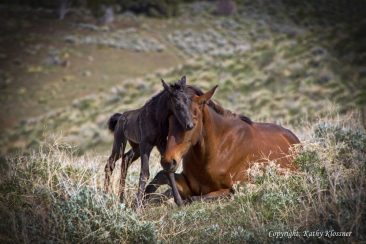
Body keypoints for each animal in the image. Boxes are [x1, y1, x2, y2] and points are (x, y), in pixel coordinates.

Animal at [103, 76, 193, 208]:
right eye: (177, 104)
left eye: (188, 100)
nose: (190, 125)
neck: (155, 118)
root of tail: (120, 117)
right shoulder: (146, 145)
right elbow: (144, 173)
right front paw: (137, 206)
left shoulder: (161, 143)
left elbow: (168, 169)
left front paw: (179, 202)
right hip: (120, 143)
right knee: (110, 163)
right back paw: (104, 196)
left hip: (136, 146)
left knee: (126, 160)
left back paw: (121, 200)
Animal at [146, 85, 300, 202]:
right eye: (170, 121)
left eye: (191, 124)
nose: (168, 161)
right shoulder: (189, 184)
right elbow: (160, 176)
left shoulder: (232, 188)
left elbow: (196, 198)